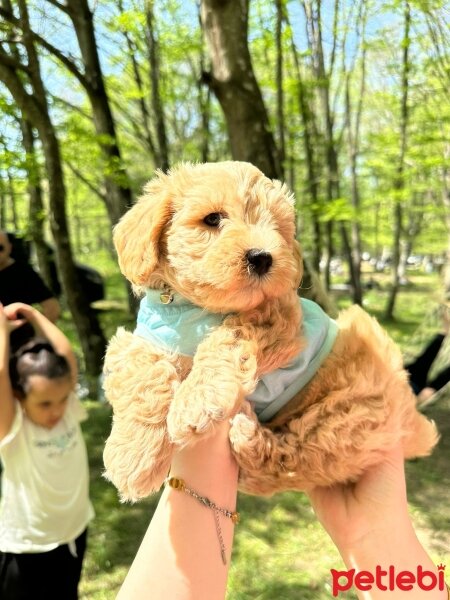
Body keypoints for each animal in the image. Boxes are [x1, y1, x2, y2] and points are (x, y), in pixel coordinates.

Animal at [103, 161, 440, 502]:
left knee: (292, 459)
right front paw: (132, 457)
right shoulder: (146, 337)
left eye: (278, 228)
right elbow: (142, 373)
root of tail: (411, 413)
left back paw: (248, 437)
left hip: (347, 417)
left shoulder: (280, 315)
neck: (195, 309)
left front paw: (198, 401)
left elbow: (229, 337)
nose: (262, 257)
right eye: (212, 218)